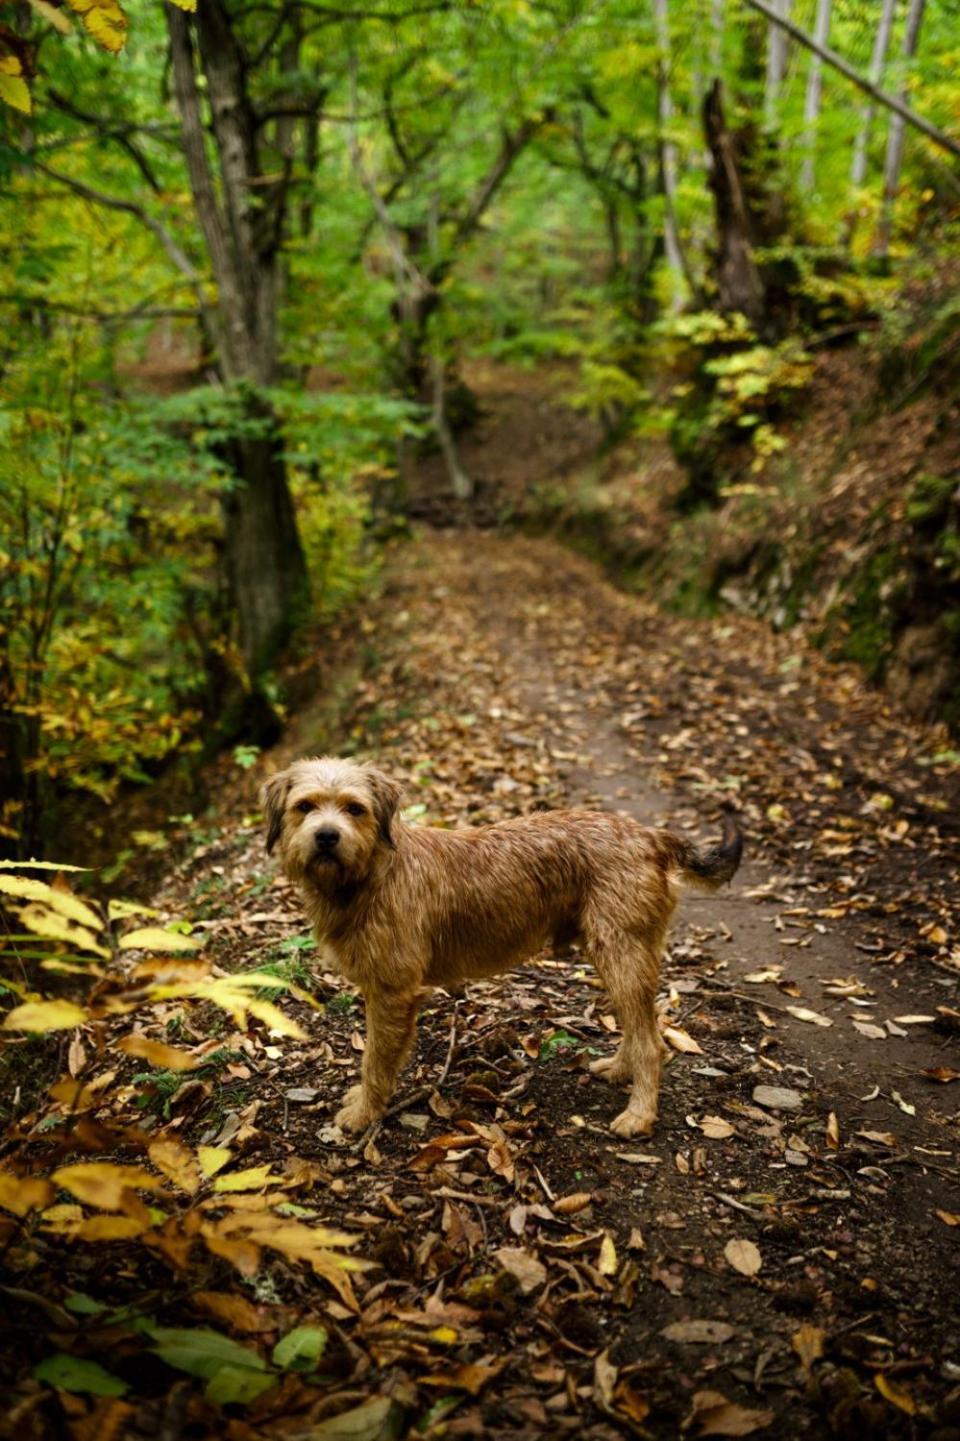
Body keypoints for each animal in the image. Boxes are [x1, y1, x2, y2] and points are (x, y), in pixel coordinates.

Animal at [262, 760, 738, 1141]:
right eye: (305, 806)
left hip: (621, 954)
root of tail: (651, 835)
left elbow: (376, 1060)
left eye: (354, 809)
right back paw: (620, 1069)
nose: (327, 836)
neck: (372, 874)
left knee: (652, 1043)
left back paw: (638, 1116)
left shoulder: (392, 993)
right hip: (619, 956)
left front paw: (364, 1113)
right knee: (639, 1028)